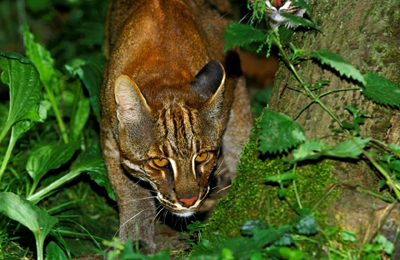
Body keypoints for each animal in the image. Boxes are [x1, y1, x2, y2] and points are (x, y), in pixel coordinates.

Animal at [99, 0, 253, 253]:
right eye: (159, 161)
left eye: (202, 156)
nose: (189, 201)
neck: (164, 76)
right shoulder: (110, 140)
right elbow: (131, 194)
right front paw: (135, 241)